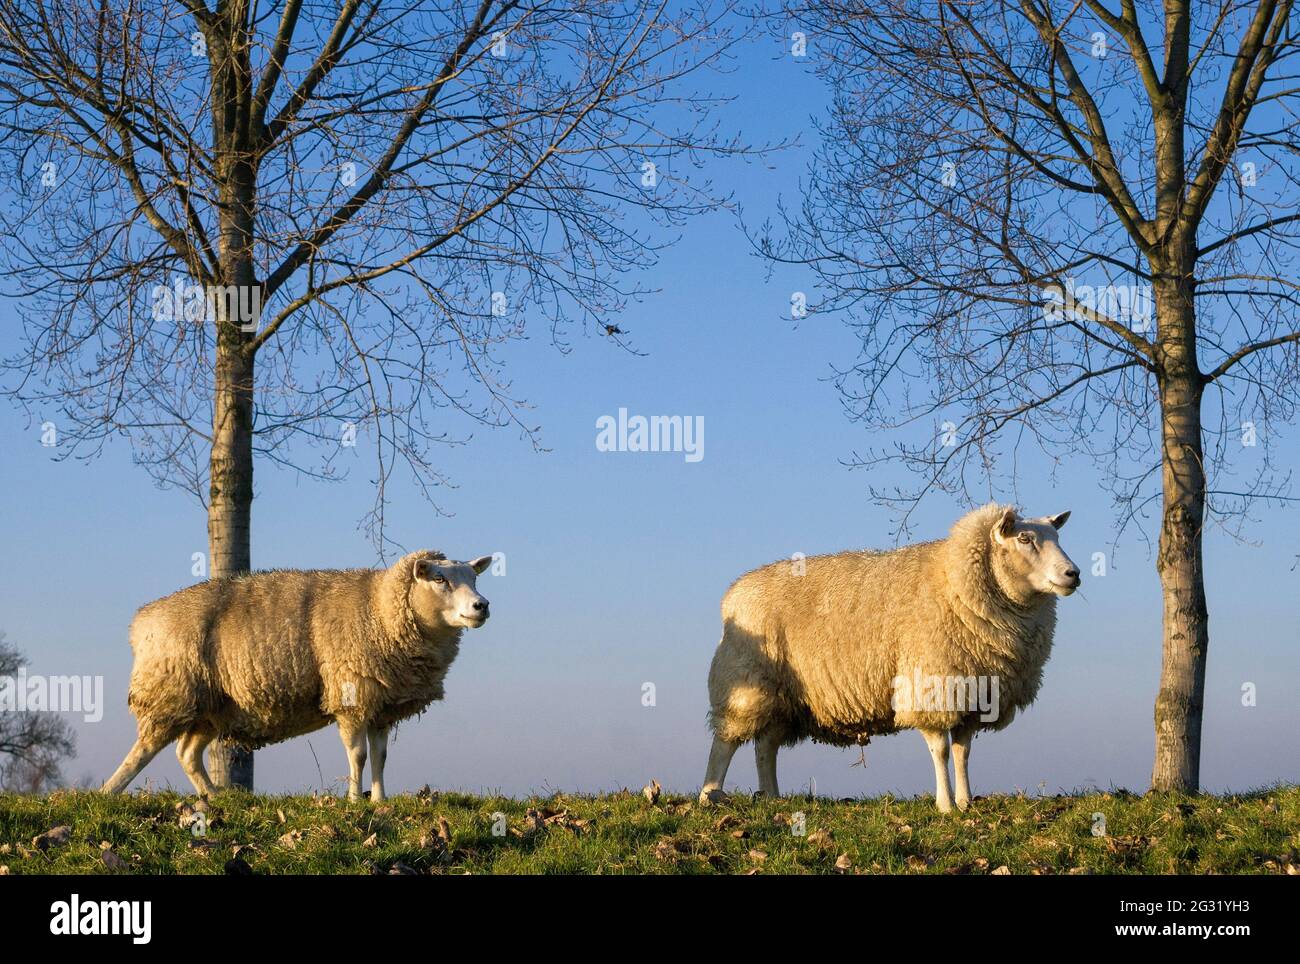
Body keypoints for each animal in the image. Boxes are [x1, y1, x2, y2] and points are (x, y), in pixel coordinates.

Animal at [702, 506, 1076, 815]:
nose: (1073, 574)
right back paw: (710, 795)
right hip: (745, 680)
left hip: (783, 695)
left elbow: (962, 752)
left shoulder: (974, 693)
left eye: (1057, 537)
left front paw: (966, 802)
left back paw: (772, 797)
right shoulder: (932, 685)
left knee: (766, 746)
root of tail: (733, 593)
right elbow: (941, 751)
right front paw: (946, 806)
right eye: (1025, 539)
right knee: (725, 741)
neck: (954, 580)